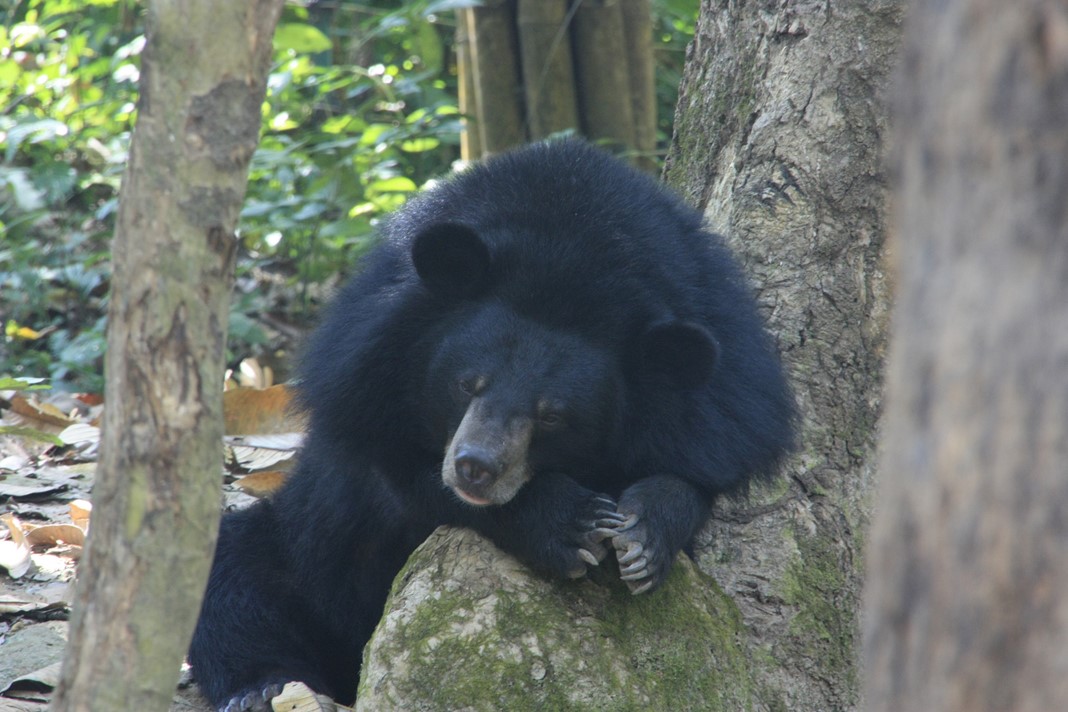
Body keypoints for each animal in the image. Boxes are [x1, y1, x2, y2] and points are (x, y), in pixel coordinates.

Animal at [187, 136, 798, 708]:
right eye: (466, 383)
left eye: (553, 416)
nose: (475, 468)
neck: (576, 260)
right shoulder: (364, 369)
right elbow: (406, 479)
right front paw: (568, 522)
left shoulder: (727, 399)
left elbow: (699, 473)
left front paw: (643, 537)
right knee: (235, 574)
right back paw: (263, 687)